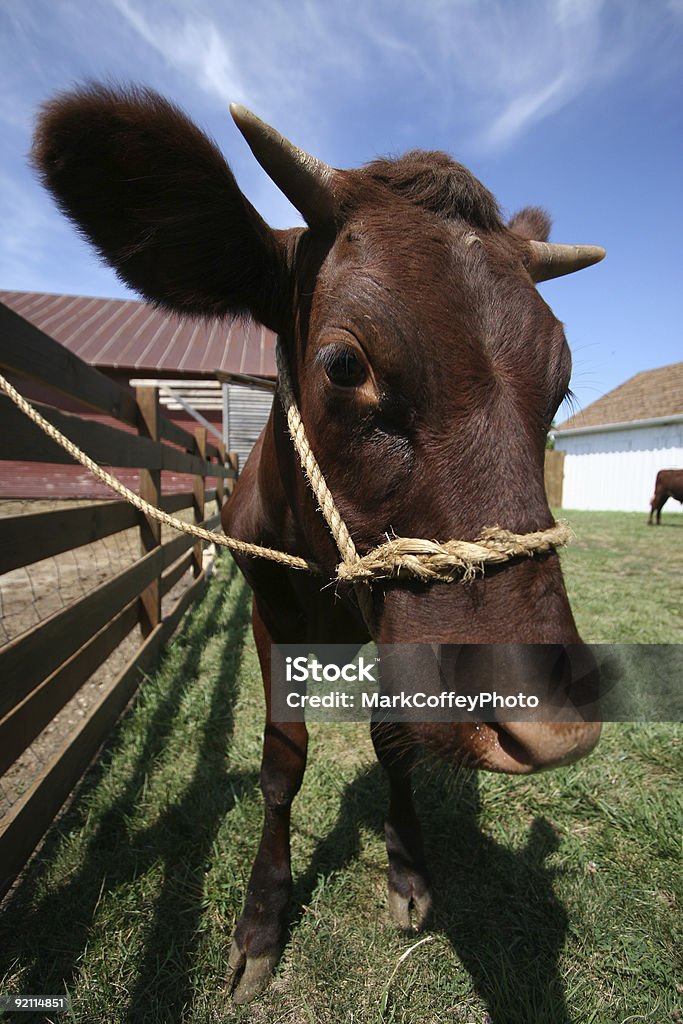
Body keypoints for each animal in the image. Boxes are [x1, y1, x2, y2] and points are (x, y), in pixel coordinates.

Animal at [34, 86, 606, 999]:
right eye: (344, 366)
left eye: (560, 388)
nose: (550, 724)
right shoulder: (269, 616)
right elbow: (280, 760)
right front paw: (262, 919)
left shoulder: (395, 636)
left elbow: (392, 742)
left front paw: (407, 869)